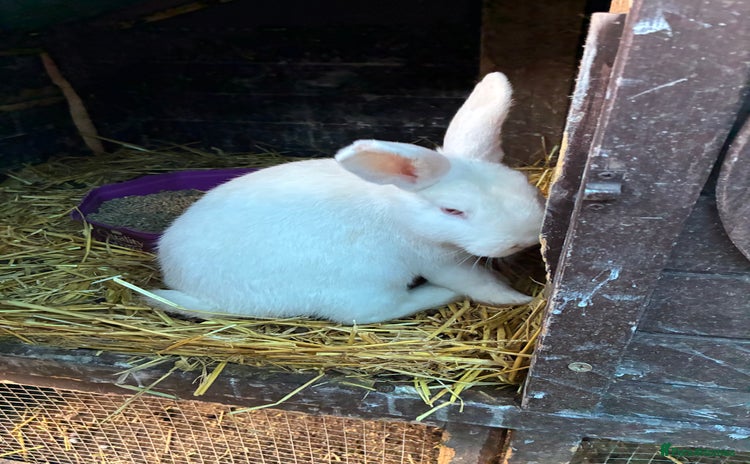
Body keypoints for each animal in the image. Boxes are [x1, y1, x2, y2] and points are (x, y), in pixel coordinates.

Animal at [150, 72, 545, 324]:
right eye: (452, 210)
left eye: (523, 182)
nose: (523, 239)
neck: (402, 212)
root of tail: (190, 288)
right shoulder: (440, 261)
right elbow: (477, 282)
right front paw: (517, 298)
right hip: (362, 288)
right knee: (381, 311)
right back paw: (438, 295)